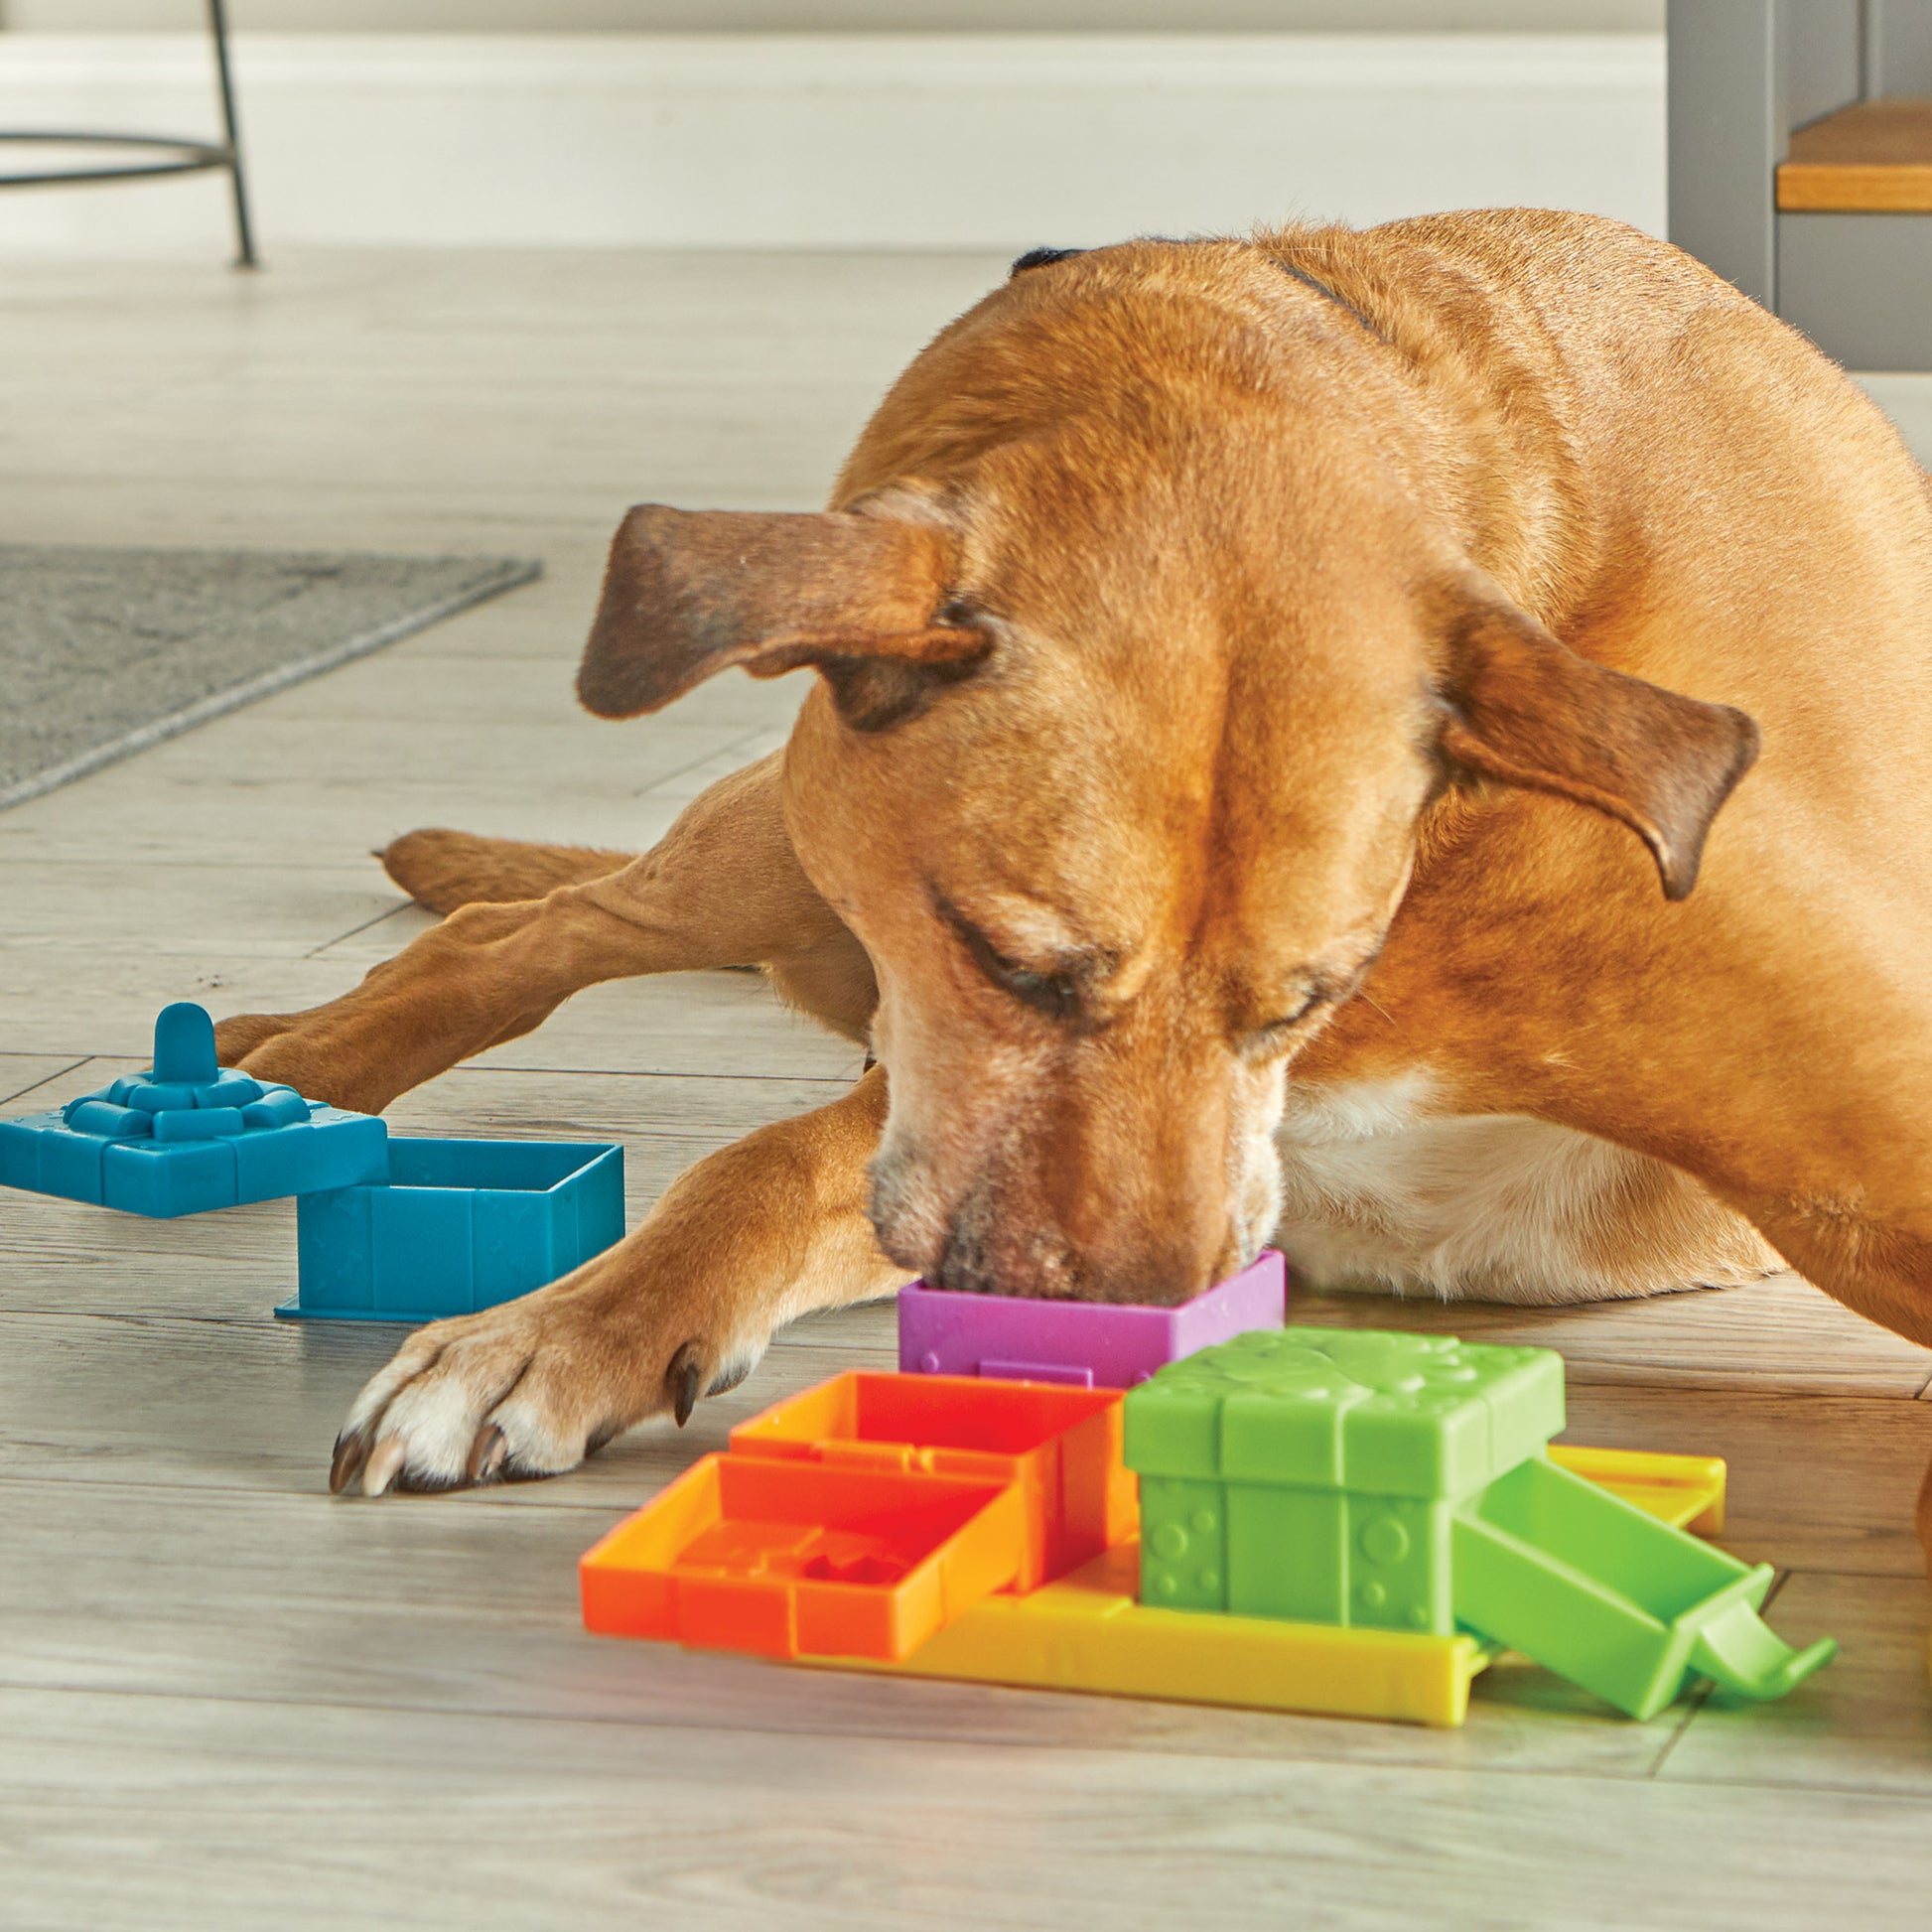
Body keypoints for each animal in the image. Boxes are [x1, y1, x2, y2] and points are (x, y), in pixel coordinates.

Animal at [218, 211, 1932, 1569]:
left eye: (1307, 999)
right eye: (1005, 958)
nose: (1138, 1352)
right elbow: (765, 1161)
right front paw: (551, 1331)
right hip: (779, 851)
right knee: (527, 928)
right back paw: (291, 1061)